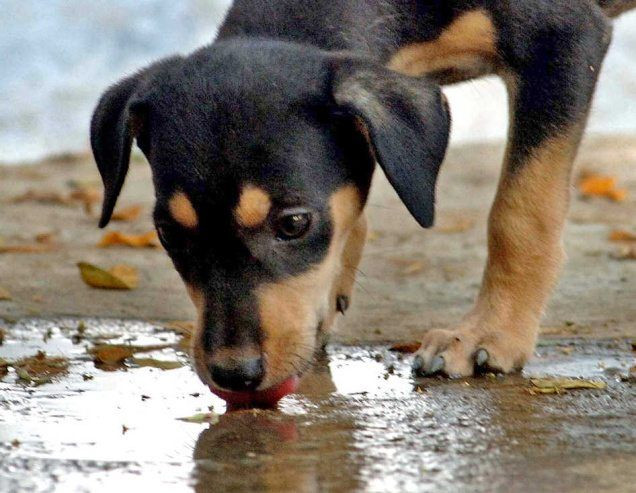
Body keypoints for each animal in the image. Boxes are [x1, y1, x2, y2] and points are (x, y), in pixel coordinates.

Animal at [90, 0, 636, 400]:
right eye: (167, 233)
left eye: (293, 224)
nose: (234, 374)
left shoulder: (562, 39)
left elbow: (520, 208)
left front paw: (489, 334)